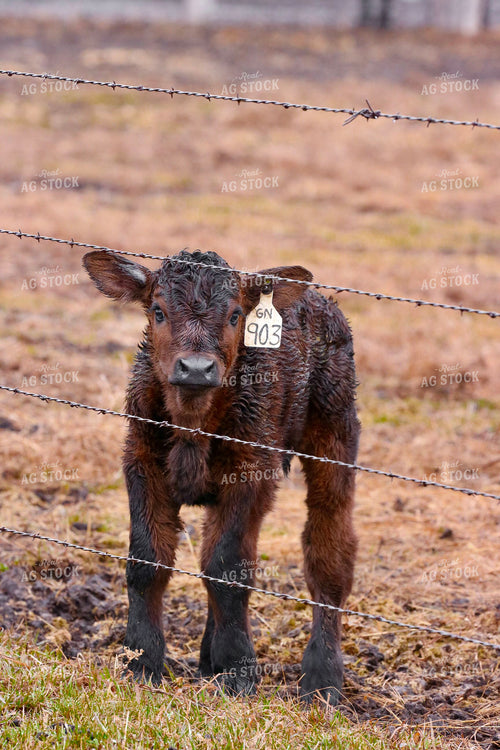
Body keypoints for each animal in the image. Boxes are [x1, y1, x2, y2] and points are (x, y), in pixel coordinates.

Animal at [82, 248, 359, 705]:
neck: (193, 423)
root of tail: (320, 299)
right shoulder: (140, 461)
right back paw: (208, 659)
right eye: (158, 311)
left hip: (335, 431)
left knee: (328, 550)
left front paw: (238, 672)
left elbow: (227, 568)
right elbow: (148, 560)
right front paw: (141, 662)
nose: (196, 368)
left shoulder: (249, 471)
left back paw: (322, 681)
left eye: (234, 316)